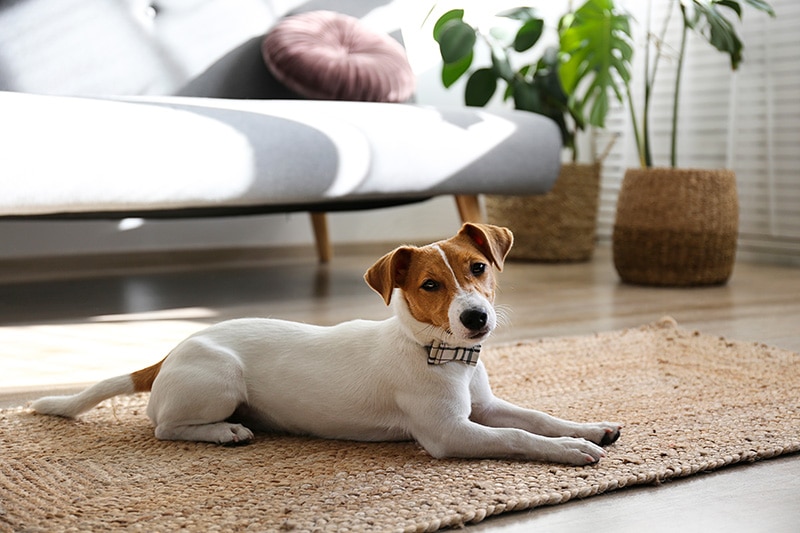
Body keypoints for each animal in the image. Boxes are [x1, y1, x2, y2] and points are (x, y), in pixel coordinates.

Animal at [29, 222, 620, 464]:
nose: (476, 318)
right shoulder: (451, 434)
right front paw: (572, 451)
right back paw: (224, 433)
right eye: (430, 286)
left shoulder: (486, 407)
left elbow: (536, 417)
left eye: (479, 268)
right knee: (164, 427)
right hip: (220, 381)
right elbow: (520, 437)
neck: (441, 353)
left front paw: (590, 428)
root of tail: (173, 351)